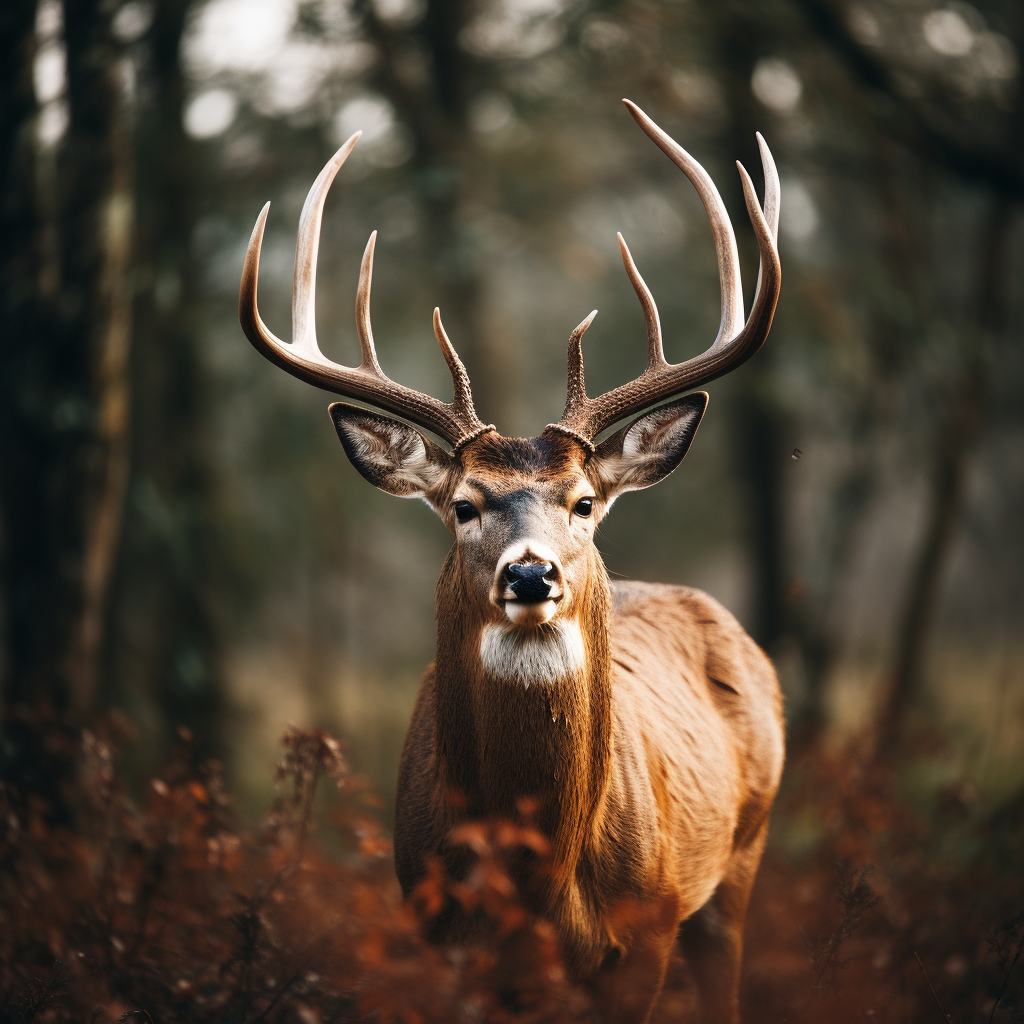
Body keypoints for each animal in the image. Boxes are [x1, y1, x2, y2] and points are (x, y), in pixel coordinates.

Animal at [237, 97, 782, 1024]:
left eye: (585, 502)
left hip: (740, 860)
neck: (539, 884)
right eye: (464, 505)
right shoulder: (444, 938)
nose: (532, 575)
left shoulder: (646, 933)